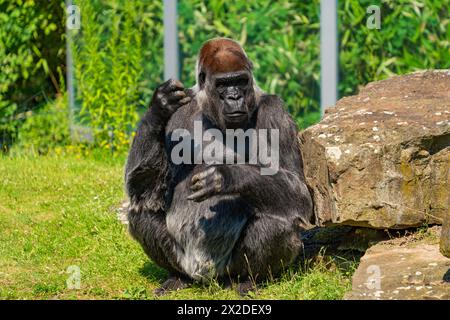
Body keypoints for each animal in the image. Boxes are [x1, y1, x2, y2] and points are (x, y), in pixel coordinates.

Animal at [123, 37, 312, 296]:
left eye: (240, 81)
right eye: (223, 84)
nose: (234, 97)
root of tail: (207, 278)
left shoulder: (276, 112)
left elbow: (298, 191)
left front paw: (225, 176)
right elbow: (144, 190)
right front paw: (159, 107)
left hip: (228, 271)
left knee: (277, 222)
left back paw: (250, 280)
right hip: (184, 262)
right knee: (141, 211)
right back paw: (177, 277)